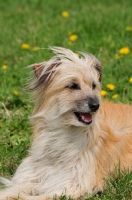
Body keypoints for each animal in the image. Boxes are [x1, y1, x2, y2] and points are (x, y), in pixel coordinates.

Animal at [0, 46, 132, 198]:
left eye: (93, 85)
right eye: (73, 86)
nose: (96, 105)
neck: (65, 132)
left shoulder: (73, 185)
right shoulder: (33, 177)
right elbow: (13, 190)